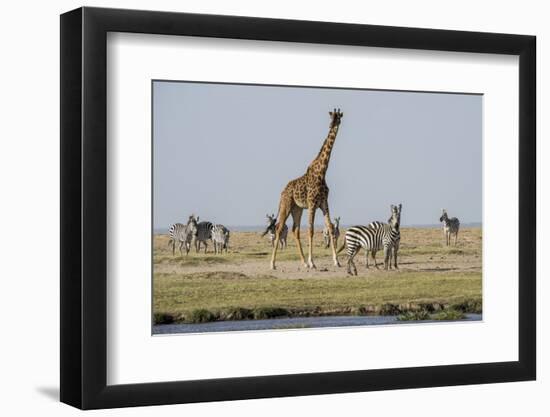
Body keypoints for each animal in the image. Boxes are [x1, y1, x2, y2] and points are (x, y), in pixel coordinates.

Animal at [270, 108, 342, 270]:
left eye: (338, 118)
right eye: (331, 117)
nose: (331, 125)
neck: (322, 172)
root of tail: (282, 192)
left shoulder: (324, 203)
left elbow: (330, 227)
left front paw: (336, 261)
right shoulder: (312, 204)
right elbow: (311, 230)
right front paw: (312, 262)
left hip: (297, 209)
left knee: (295, 230)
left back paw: (303, 262)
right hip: (286, 205)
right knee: (279, 228)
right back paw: (273, 264)